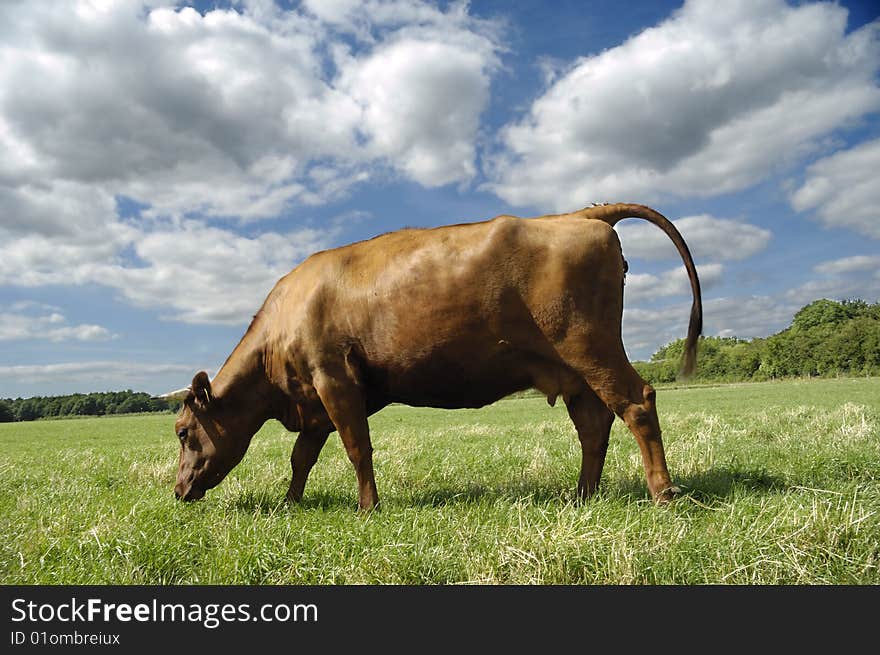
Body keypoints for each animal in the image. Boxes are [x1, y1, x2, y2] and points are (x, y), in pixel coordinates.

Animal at [162, 202, 704, 510]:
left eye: (183, 432)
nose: (178, 491)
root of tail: (579, 216)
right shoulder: (315, 400)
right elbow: (302, 457)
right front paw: (290, 503)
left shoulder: (334, 378)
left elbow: (357, 448)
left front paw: (367, 508)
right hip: (573, 371)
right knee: (594, 426)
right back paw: (582, 497)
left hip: (592, 347)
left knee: (637, 404)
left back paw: (662, 494)